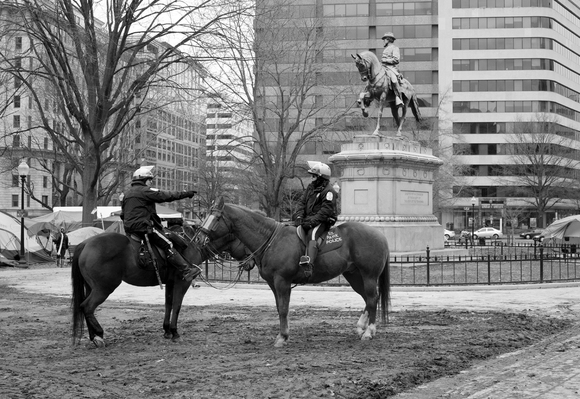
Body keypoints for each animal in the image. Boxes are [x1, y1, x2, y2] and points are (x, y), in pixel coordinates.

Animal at [71, 227, 250, 348]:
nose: (251, 262)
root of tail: (85, 243)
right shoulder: (182, 282)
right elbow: (177, 305)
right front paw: (175, 332)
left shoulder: (170, 283)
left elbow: (168, 304)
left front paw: (167, 330)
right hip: (103, 288)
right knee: (87, 306)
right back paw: (98, 336)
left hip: (92, 287)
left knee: (85, 308)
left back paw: (93, 336)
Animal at [197, 202, 392, 348]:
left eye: (216, 218)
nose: (199, 238)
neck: (271, 239)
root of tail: (380, 234)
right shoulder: (273, 283)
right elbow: (279, 308)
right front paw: (283, 334)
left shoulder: (282, 281)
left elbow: (284, 308)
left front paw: (282, 337)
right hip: (354, 276)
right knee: (368, 299)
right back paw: (361, 327)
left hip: (368, 276)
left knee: (372, 299)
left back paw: (369, 332)